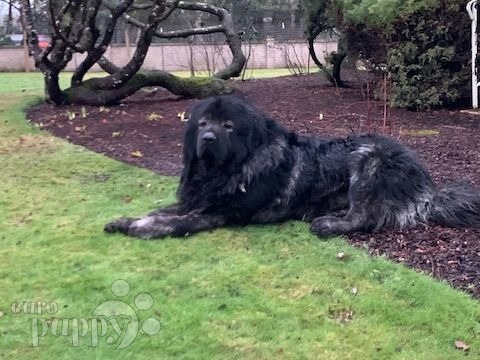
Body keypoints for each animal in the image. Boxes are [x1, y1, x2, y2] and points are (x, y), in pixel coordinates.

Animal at [105, 95, 480, 239]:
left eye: (228, 126)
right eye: (203, 124)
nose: (208, 138)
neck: (224, 171)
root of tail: (428, 184)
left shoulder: (223, 212)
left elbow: (176, 222)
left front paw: (141, 227)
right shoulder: (198, 199)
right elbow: (165, 210)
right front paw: (127, 219)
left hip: (368, 160)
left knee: (364, 218)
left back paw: (327, 223)